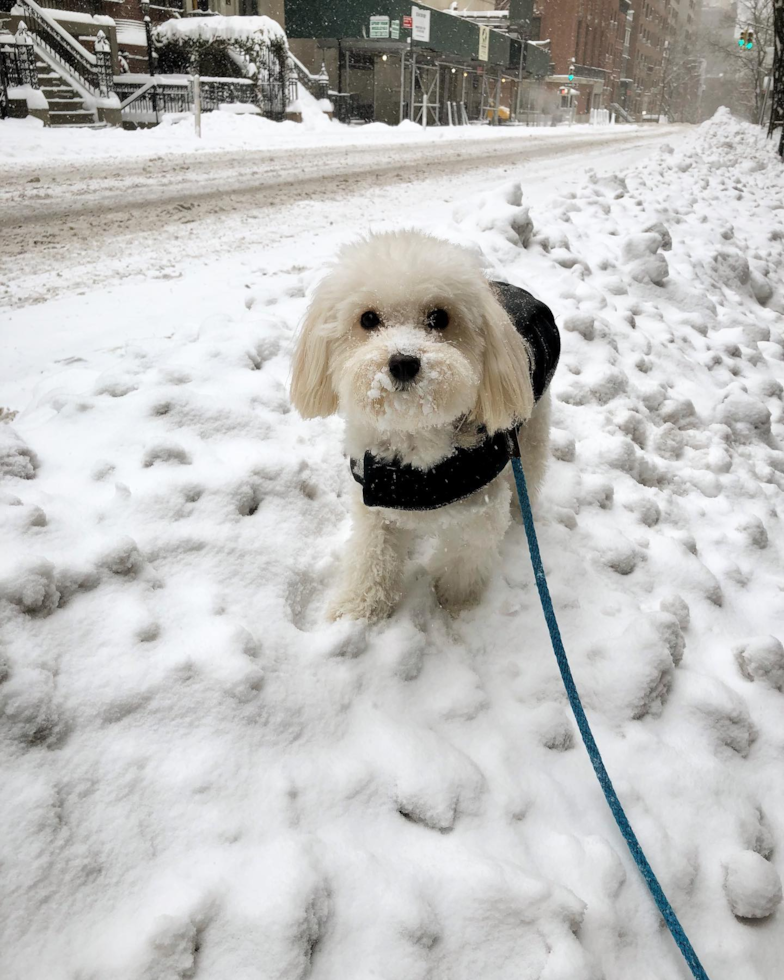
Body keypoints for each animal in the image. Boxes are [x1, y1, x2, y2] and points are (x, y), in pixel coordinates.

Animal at [290, 230, 556, 620]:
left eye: (439, 317)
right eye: (368, 319)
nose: (403, 362)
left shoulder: (480, 511)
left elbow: (463, 562)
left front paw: (454, 604)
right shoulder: (374, 499)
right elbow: (372, 555)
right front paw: (359, 607)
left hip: (530, 431)